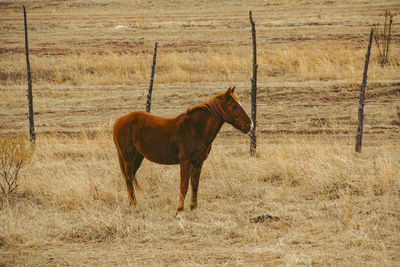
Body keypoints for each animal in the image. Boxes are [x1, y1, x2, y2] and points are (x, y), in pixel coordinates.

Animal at [112, 87, 252, 215]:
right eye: (234, 106)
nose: (249, 125)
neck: (195, 128)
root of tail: (119, 120)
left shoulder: (198, 163)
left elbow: (195, 185)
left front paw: (193, 208)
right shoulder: (185, 162)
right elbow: (183, 186)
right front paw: (179, 210)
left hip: (138, 158)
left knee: (130, 178)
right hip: (128, 158)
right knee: (129, 179)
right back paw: (134, 205)